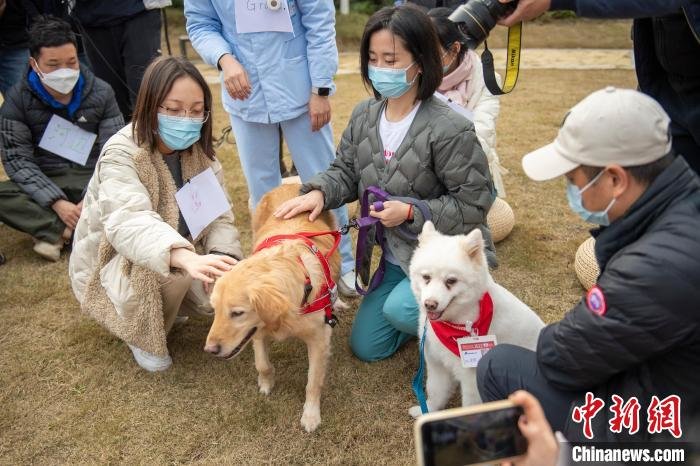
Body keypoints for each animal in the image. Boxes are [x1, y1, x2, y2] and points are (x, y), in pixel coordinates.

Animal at [408, 220, 544, 416]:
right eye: (426, 277)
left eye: (451, 281)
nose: (430, 304)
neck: (457, 323)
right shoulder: (436, 364)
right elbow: (435, 391)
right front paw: (427, 411)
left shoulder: (471, 378)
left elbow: (469, 407)